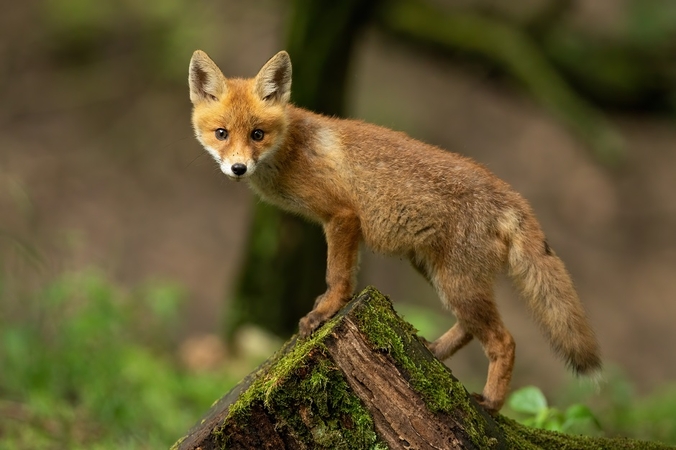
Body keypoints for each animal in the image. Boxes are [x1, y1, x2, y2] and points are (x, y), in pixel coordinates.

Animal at [189, 49, 604, 412]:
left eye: (257, 134)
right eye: (222, 133)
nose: (238, 168)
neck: (291, 148)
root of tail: (511, 195)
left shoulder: (342, 216)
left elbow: (337, 277)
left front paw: (326, 311)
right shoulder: (346, 225)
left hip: (457, 282)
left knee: (504, 340)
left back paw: (491, 402)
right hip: (441, 275)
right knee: (471, 328)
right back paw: (434, 353)